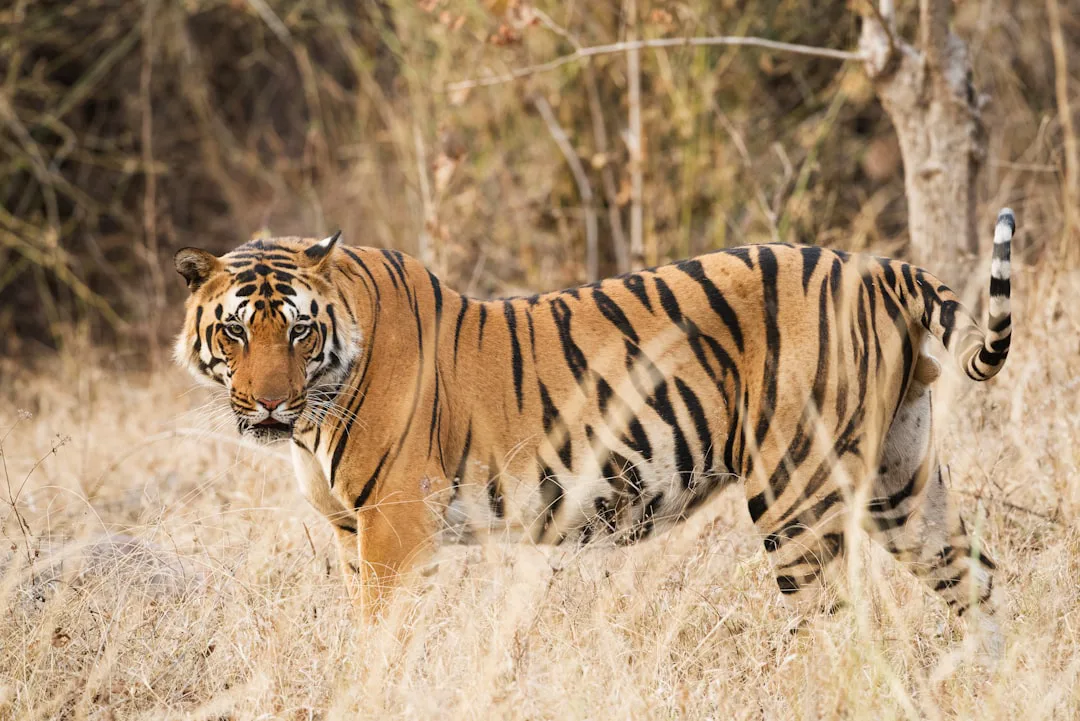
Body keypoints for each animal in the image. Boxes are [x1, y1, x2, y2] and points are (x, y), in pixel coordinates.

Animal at [173, 208, 1014, 646]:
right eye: (236, 333)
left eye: (299, 331)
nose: (269, 405)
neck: (317, 407)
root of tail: (879, 266)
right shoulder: (353, 530)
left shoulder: (394, 526)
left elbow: (380, 641)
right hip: (902, 480)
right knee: (977, 579)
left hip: (796, 492)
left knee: (839, 628)